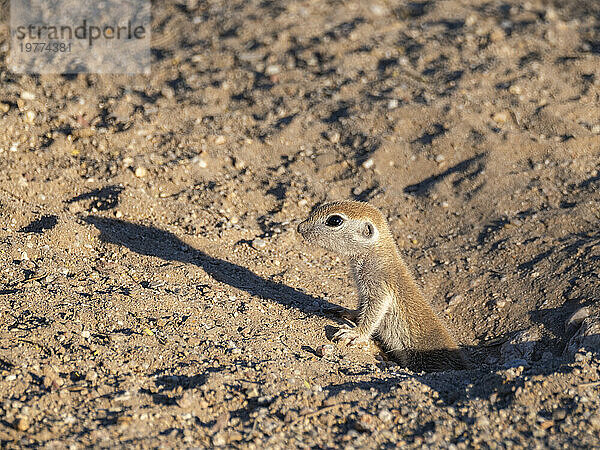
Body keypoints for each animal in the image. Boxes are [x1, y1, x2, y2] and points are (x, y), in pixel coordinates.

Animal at [298, 202, 466, 370]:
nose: (300, 227)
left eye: (335, 220)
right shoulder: (364, 290)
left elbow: (375, 311)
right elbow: (362, 307)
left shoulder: (380, 285)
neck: (378, 255)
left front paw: (357, 333)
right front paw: (348, 312)